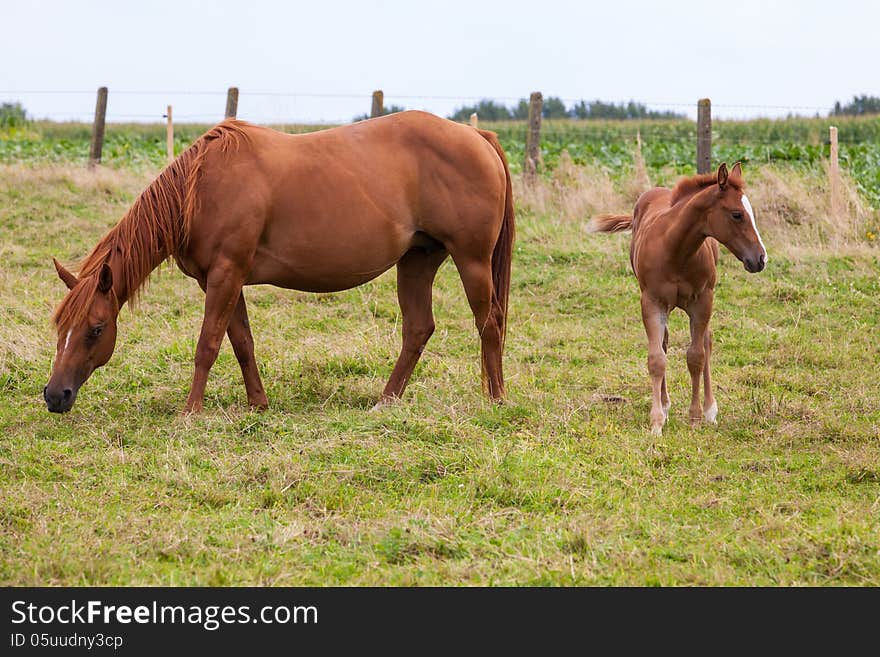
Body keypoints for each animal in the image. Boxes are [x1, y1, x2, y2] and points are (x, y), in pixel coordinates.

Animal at [46, 110, 516, 412]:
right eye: (60, 328)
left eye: (96, 329)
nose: (54, 396)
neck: (202, 187)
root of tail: (477, 137)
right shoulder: (223, 279)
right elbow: (241, 343)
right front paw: (258, 404)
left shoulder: (225, 274)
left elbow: (207, 345)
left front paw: (190, 411)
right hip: (418, 259)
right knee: (418, 329)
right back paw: (386, 401)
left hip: (471, 260)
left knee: (489, 322)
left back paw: (494, 400)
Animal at [592, 161, 768, 434]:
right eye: (737, 214)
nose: (760, 259)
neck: (675, 249)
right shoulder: (652, 302)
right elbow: (657, 359)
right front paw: (656, 422)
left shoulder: (702, 301)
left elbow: (696, 356)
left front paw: (695, 417)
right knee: (664, 343)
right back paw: (665, 405)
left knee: (706, 341)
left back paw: (709, 409)